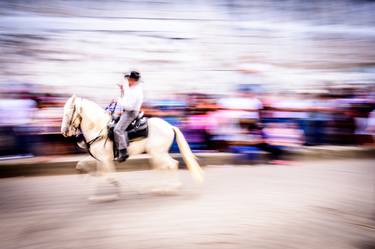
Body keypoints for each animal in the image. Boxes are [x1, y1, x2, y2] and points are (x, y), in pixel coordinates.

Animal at [60, 95, 204, 198]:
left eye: (68, 112)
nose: (64, 131)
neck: (99, 129)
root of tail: (170, 126)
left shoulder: (105, 159)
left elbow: (106, 175)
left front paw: (106, 195)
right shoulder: (101, 158)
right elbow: (84, 165)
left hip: (159, 153)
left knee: (172, 164)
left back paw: (172, 188)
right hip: (157, 154)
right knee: (162, 168)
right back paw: (159, 188)